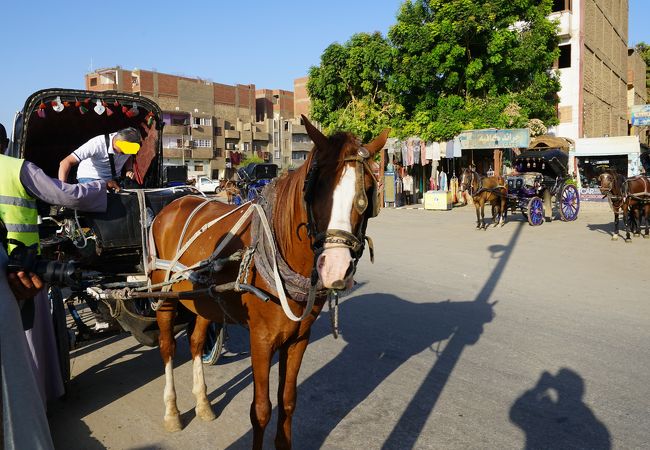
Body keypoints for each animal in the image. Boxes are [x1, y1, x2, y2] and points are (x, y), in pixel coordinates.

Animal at [149, 117, 388, 450]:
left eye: (366, 192)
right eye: (317, 188)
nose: (336, 268)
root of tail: (174, 203)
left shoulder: (298, 339)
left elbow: (287, 401)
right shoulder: (260, 340)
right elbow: (261, 409)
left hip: (202, 299)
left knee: (196, 342)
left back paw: (203, 403)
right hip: (164, 297)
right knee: (167, 347)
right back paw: (172, 412)